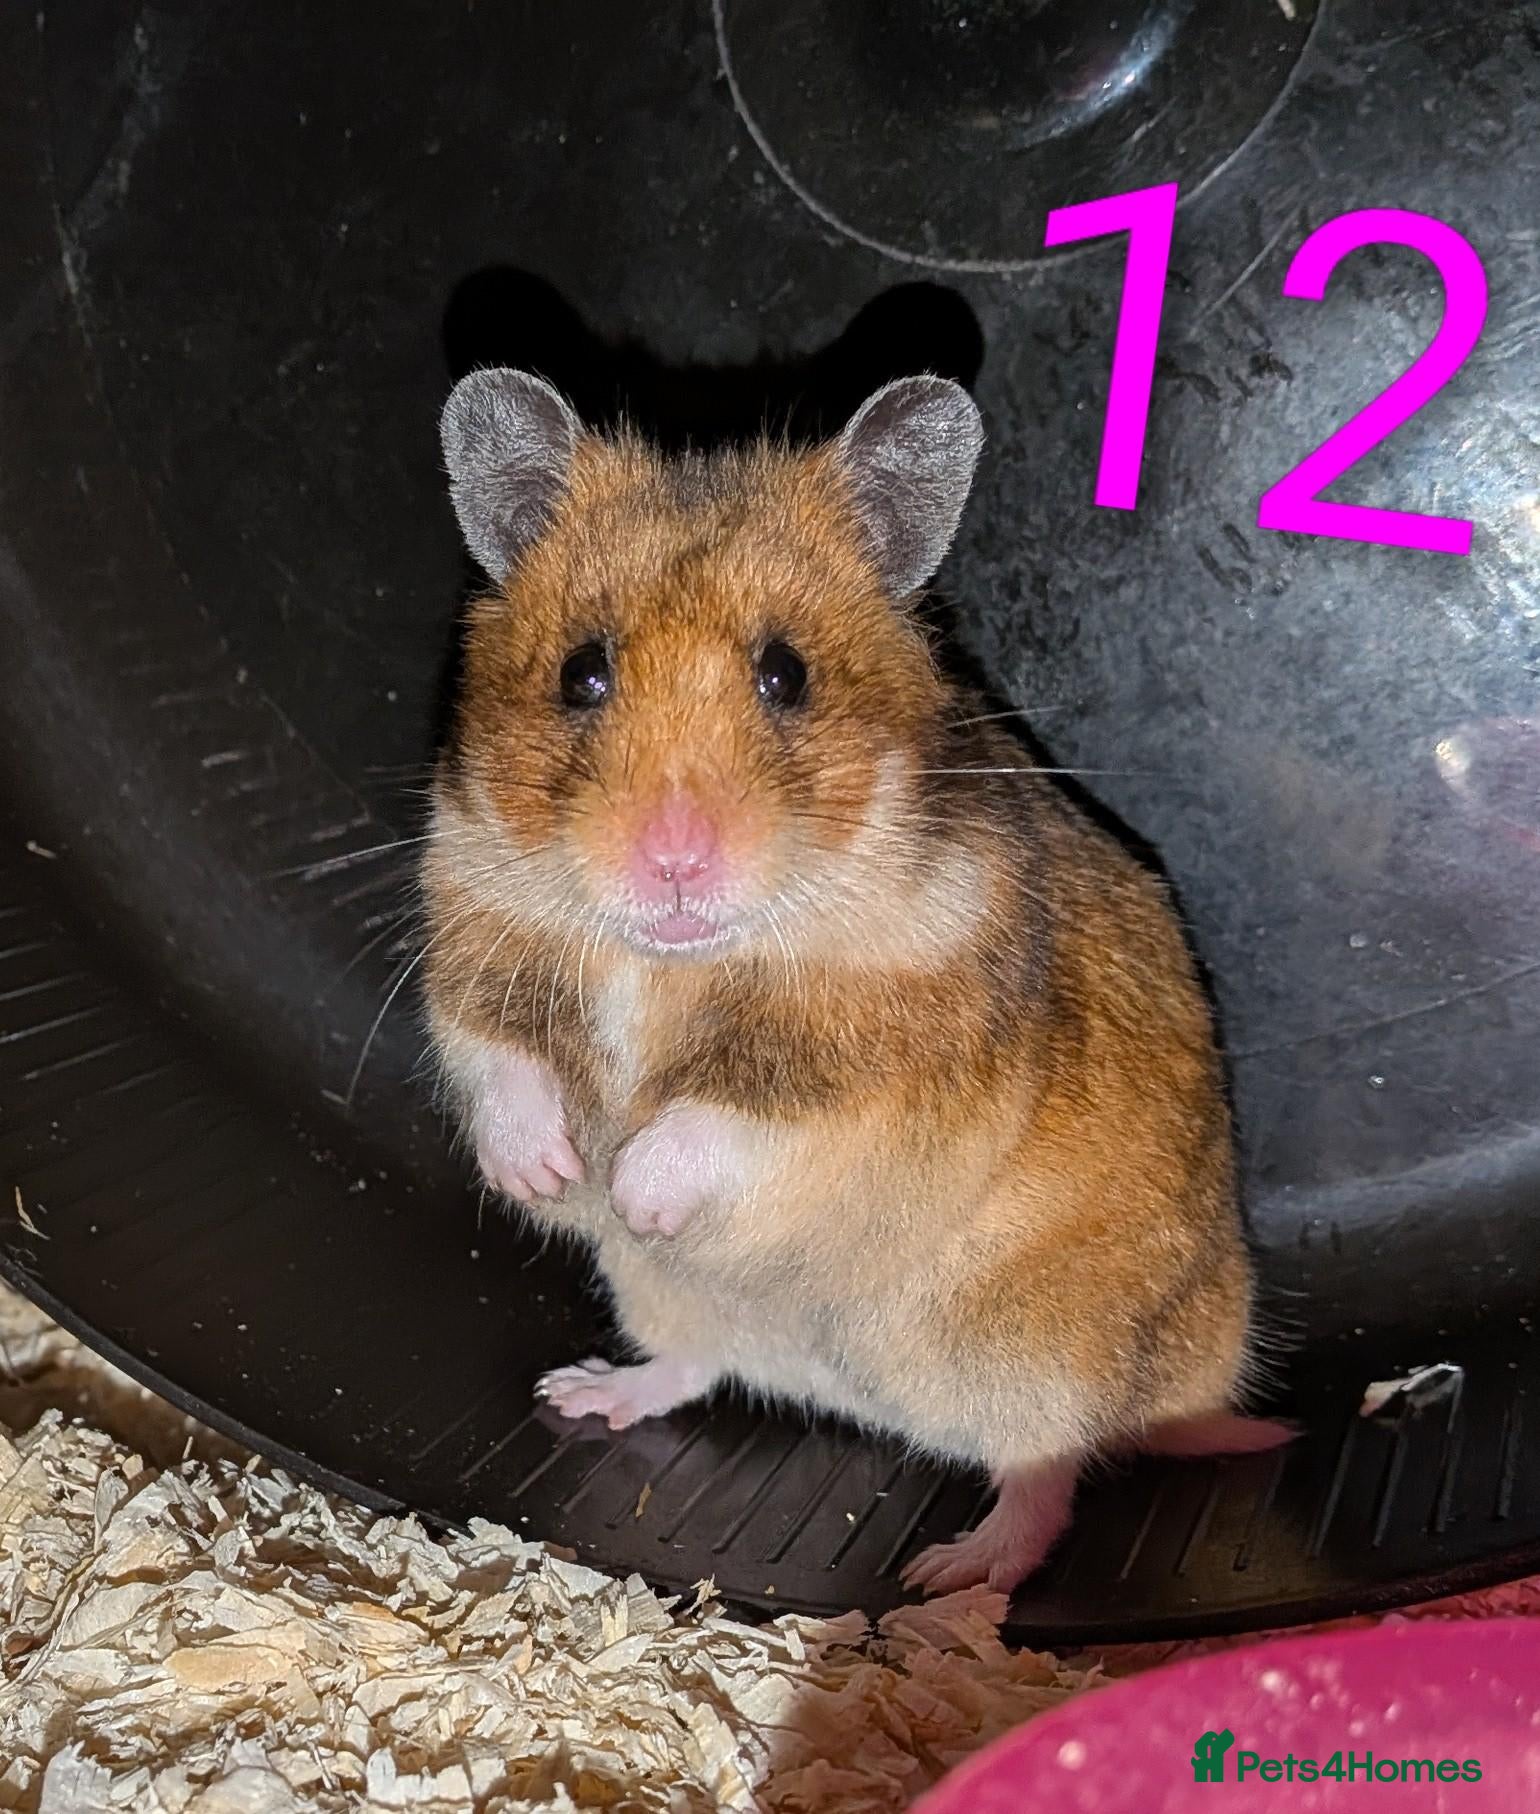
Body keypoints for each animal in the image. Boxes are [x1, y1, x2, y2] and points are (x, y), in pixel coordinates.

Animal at [422, 367, 1288, 1597]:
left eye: (786, 674)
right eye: (580, 672)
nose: (672, 863)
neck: (670, 961)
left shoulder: (878, 1075)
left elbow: (729, 1120)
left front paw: (632, 1191)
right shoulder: (467, 931)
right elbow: (500, 1060)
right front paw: (546, 1175)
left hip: (1038, 1355)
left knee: (1050, 1478)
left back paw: (950, 1578)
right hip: (668, 1300)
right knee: (698, 1365)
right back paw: (584, 1395)